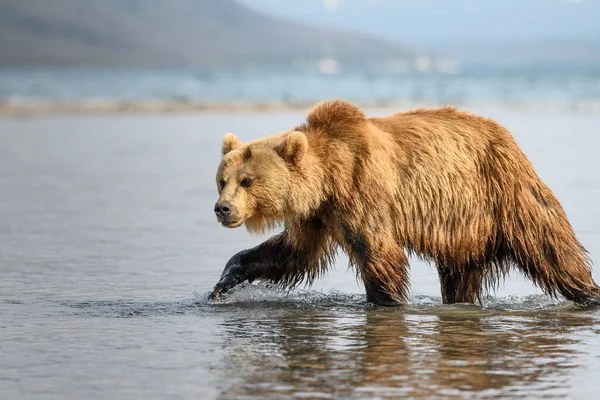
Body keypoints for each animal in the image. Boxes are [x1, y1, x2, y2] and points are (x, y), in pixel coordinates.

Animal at [207, 100, 600, 306]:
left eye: (247, 180)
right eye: (222, 180)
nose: (222, 208)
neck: (328, 178)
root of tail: (508, 137)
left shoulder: (361, 190)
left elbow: (380, 253)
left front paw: (387, 301)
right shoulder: (315, 215)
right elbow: (291, 253)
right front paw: (223, 282)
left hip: (505, 193)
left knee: (553, 250)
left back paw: (589, 293)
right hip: (465, 229)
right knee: (460, 274)